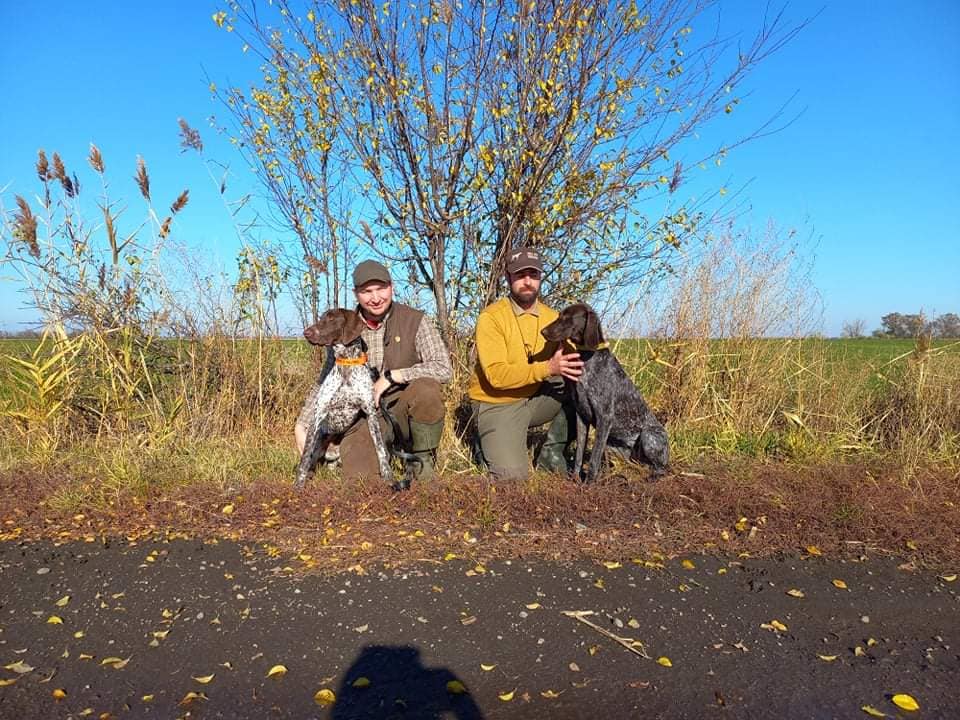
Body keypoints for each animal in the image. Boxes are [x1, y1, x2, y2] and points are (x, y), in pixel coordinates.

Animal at [541, 303, 669, 482]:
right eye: (560, 315)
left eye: (567, 317)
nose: (542, 332)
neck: (588, 358)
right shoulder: (582, 416)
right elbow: (579, 454)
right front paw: (576, 478)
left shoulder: (604, 418)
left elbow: (594, 459)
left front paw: (588, 483)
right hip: (613, 447)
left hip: (648, 435)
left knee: (662, 467)